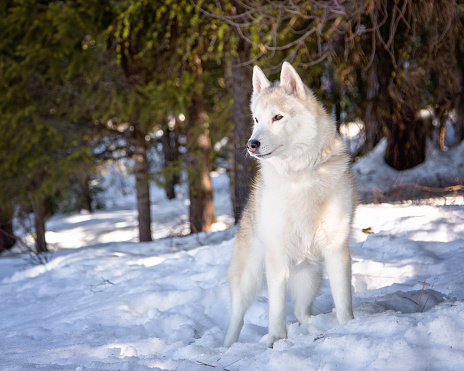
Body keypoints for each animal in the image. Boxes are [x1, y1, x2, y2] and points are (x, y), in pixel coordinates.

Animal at [223, 61, 358, 348]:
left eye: (277, 117)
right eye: (256, 119)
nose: (251, 144)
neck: (301, 176)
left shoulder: (336, 249)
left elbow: (343, 302)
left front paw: (349, 328)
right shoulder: (277, 259)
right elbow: (276, 310)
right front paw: (276, 340)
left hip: (311, 277)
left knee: (301, 311)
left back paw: (314, 326)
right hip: (250, 278)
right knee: (237, 315)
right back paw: (228, 347)